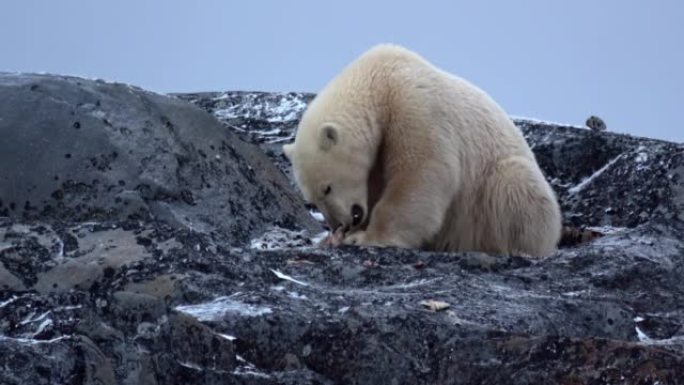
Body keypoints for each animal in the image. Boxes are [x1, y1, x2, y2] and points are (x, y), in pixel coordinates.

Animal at [282, 44, 560, 255]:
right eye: (312, 200)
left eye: (326, 188)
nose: (339, 225)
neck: (380, 80)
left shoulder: (415, 106)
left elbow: (420, 174)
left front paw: (366, 238)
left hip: (496, 190)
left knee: (513, 184)